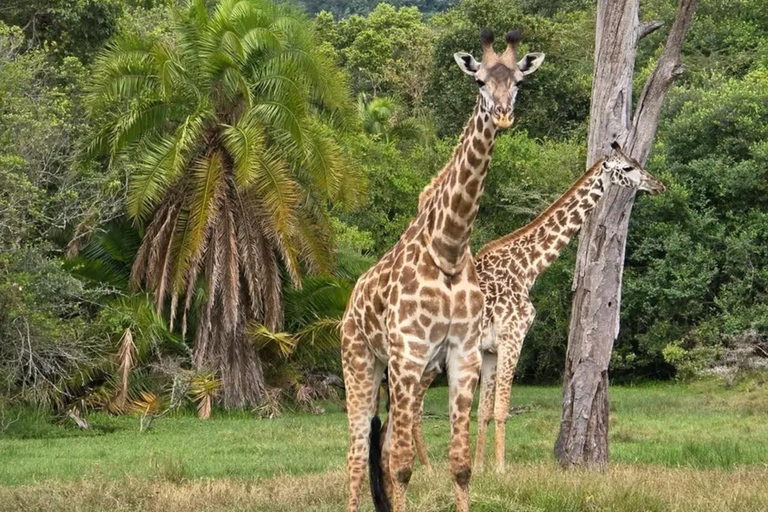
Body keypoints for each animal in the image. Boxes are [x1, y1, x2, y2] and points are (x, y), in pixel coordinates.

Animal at [340, 29, 544, 512]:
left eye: (518, 82)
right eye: (479, 81)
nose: (503, 116)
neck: (447, 250)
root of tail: (350, 304)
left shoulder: (463, 355)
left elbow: (461, 465)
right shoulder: (410, 355)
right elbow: (402, 466)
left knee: (380, 449)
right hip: (360, 362)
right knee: (357, 456)